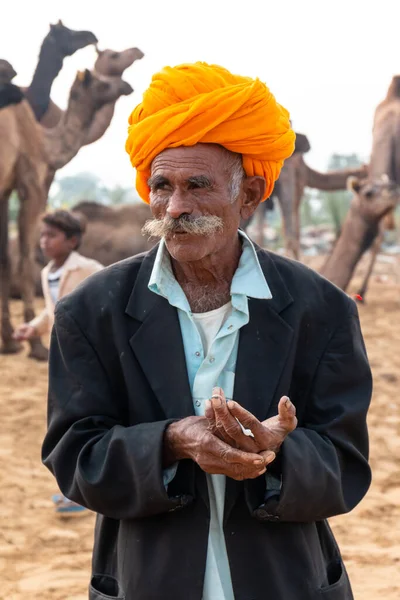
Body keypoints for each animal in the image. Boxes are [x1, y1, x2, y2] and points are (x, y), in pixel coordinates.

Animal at [0, 68, 134, 358]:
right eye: (101, 83)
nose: (126, 85)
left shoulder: (5, 186)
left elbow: (4, 257)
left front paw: (10, 342)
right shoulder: (31, 180)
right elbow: (25, 256)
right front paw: (36, 346)